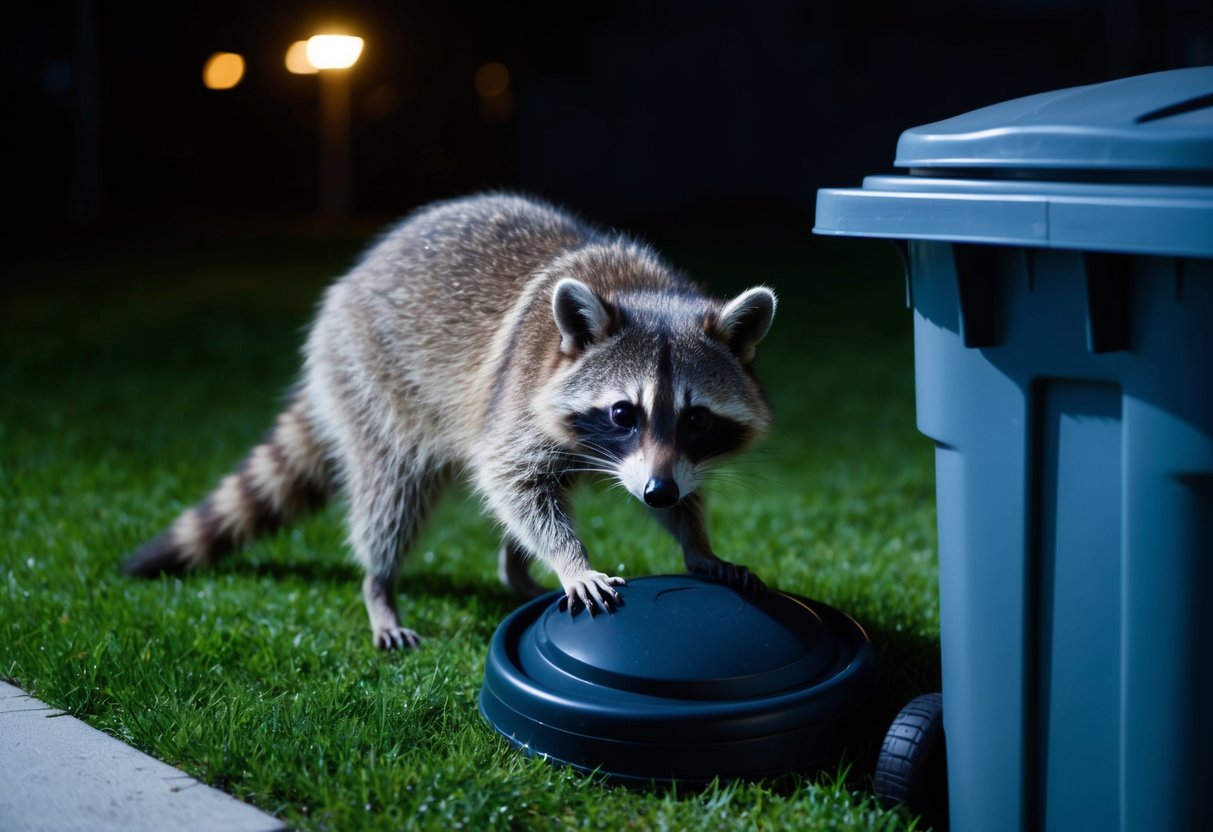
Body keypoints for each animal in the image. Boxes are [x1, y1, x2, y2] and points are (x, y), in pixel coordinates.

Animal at [124, 194, 777, 650]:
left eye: (698, 419)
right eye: (623, 412)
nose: (658, 492)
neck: (643, 289)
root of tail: (349, 284)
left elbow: (655, 488)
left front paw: (696, 540)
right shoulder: (519, 396)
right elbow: (509, 479)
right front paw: (571, 558)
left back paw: (516, 571)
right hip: (372, 376)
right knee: (393, 495)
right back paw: (381, 587)